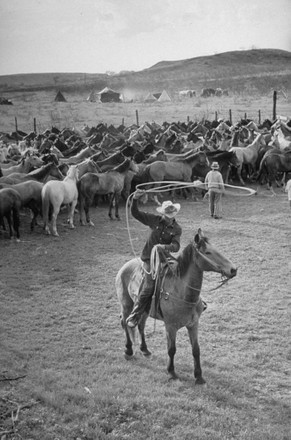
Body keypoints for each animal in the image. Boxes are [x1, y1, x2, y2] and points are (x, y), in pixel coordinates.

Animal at [115, 229, 238, 384]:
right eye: (208, 252)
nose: (233, 269)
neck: (182, 294)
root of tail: (124, 267)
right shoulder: (171, 327)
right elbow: (171, 349)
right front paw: (171, 372)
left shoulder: (193, 325)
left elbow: (196, 349)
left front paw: (199, 376)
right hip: (126, 305)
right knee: (125, 322)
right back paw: (128, 350)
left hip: (143, 310)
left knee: (140, 325)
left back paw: (144, 349)